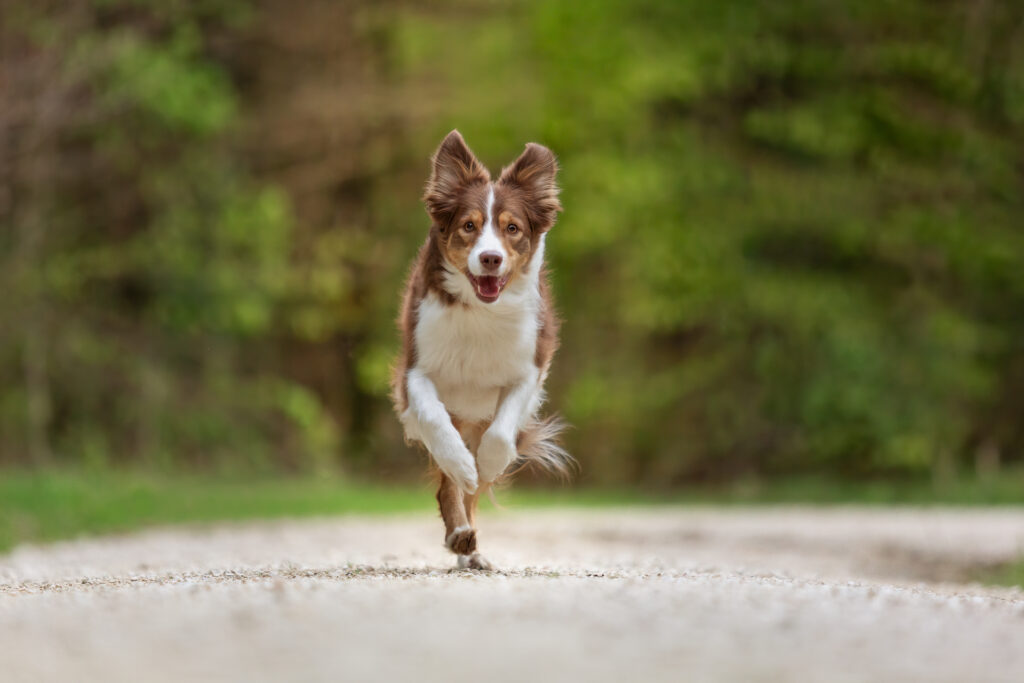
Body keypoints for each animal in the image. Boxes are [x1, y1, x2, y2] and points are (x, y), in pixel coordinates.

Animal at [389, 131, 573, 569]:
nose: (490, 258)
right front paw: (462, 464)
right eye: (468, 226)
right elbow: (435, 421)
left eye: (513, 228)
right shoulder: (415, 371)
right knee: (449, 485)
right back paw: (460, 535)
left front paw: (485, 462)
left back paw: (468, 545)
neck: (480, 311)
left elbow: (501, 435)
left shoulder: (530, 369)